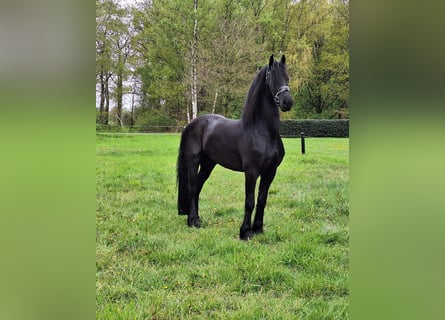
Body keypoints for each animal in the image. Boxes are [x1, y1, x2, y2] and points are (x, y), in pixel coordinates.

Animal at [175, 55, 294, 240]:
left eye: (287, 77)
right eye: (272, 78)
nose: (287, 102)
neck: (261, 131)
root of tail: (191, 125)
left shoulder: (270, 171)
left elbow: (262, 200)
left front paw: (258, 229)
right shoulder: (251, 171)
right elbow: (250, 201)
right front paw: (245, 232)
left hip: (209, 164)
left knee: (199, 187)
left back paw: (197, 218)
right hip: (193, 162)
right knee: (193, 188)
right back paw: (193, 221)